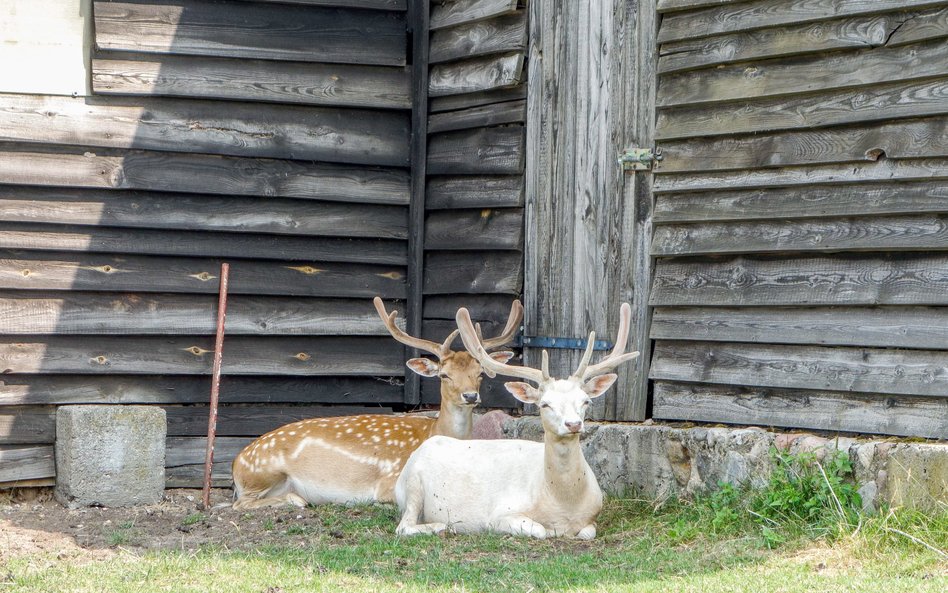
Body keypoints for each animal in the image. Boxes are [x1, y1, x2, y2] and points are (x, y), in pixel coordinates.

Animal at [232, 296, 524, 508]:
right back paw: (297, 499)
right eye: (444, 374)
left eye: (480, 373)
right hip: (262, 473)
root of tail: (236, 462)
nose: (470, 395)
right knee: (242, 503)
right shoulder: (391, 480)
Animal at [392, 302, 636, 540]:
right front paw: (550, 530)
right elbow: (539, 530)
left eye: (585, 401)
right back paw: (444, 526)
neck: (564, 505)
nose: (573, 424)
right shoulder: (499, 516)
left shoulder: (593, 518)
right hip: (413, 486)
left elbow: (587, 533)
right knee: (404, 526)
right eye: (545, 404)